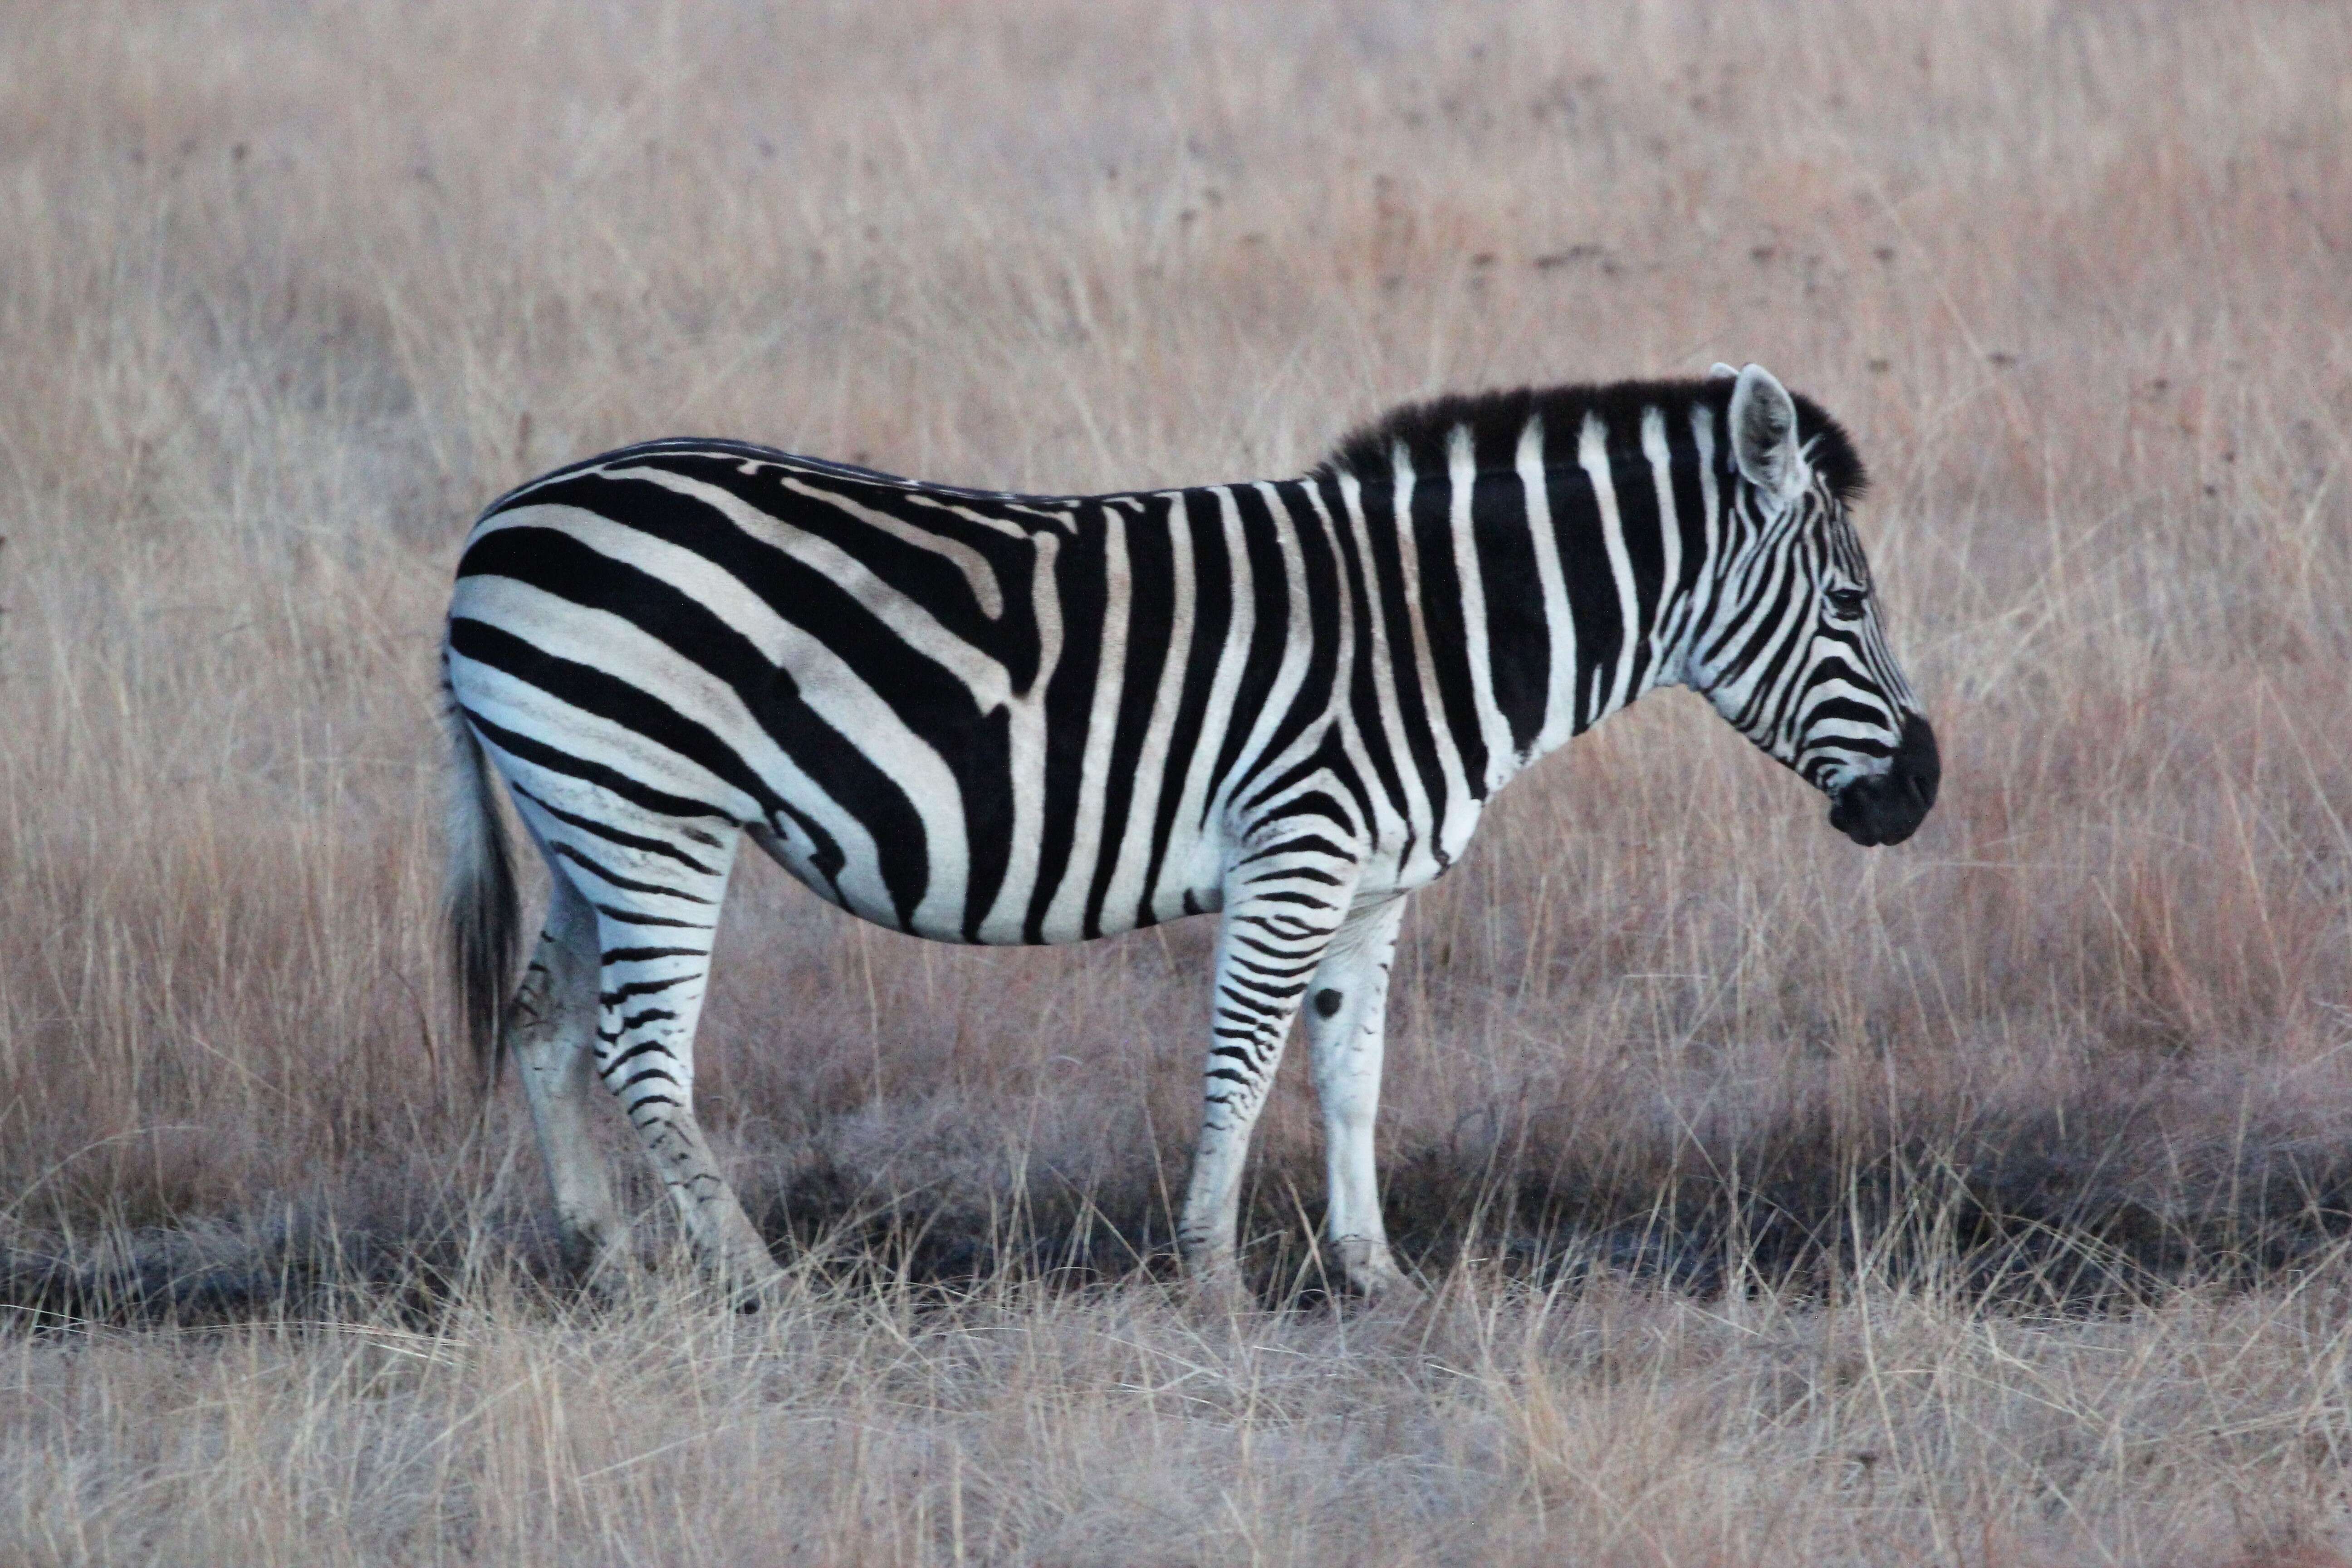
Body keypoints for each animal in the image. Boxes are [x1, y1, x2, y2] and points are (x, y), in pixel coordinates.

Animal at [442, 364, 1928, 1298]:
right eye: (1852, 606)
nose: (1917, 795)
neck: (1436, 632)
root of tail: (497, 523)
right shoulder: (1298, 854)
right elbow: (1242, 1067)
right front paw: (1210, 1275)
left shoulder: (1377, 887)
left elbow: (1351, 1077)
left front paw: (1375, 1273)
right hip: (654, 814)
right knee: (641, 1054)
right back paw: (754, 1284)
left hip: (588, 813)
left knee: (545, 1023)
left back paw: (615, 1268)